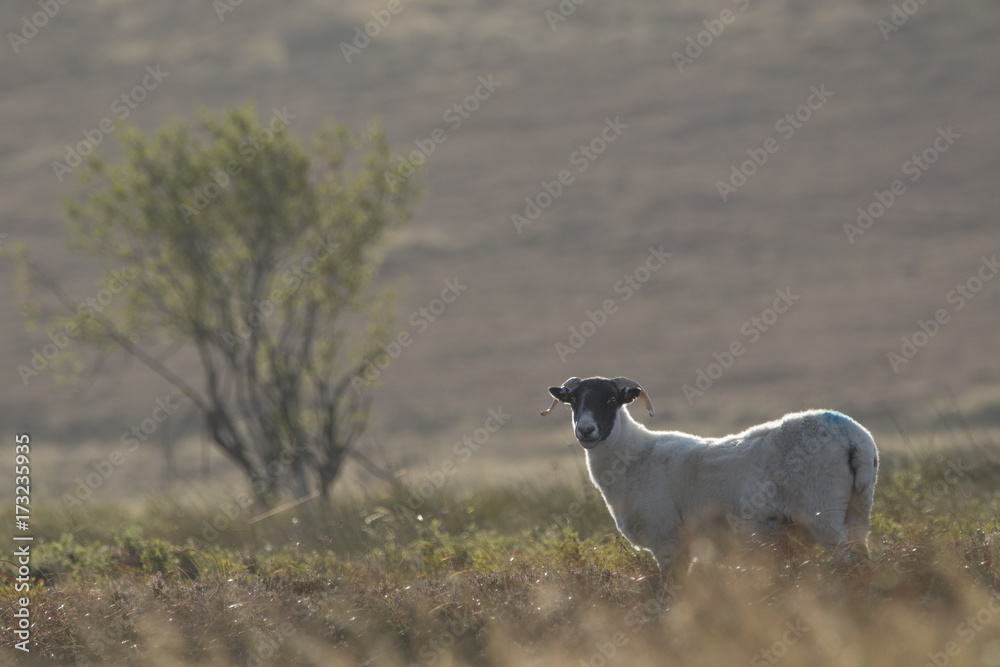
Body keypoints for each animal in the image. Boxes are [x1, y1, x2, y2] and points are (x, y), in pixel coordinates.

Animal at [541, 376, 879, 575]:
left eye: (611, 399)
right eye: (573, 401)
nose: (586, 430)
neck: (634, 456)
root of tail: (851, 436)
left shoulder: (668, 544)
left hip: (823, 512)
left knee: (847, 562)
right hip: (859, 507)